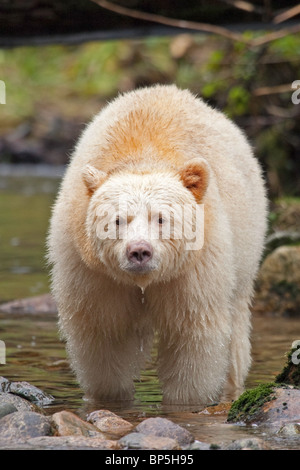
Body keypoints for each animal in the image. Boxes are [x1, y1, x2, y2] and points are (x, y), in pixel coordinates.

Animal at [48, 86, 268, 406]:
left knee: (236, 326)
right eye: (117, 220)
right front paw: (110, 396)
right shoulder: (91, 272)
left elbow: (191, 335)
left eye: (162, 218)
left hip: (247, 241)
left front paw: (186, 400)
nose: (139, 251)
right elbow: (102, 334)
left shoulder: (194, 269)